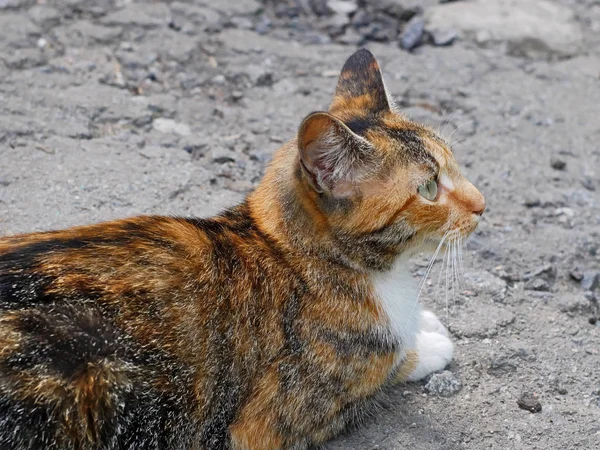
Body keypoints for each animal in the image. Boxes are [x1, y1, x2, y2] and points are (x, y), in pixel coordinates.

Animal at [0, 50, 486, 450]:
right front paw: (427, 343)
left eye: (455, 164)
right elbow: (386, 368)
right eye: (428, 188)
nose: (483, 205)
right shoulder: (267, 423)